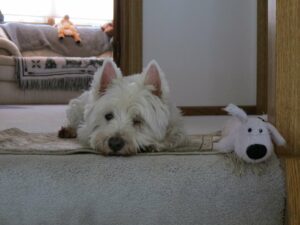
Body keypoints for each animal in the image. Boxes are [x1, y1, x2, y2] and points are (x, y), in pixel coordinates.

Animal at [58, 59, 189, 156]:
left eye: (138, 120)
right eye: (108, 116)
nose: (114, 143)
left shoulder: (177, 126)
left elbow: (176, 137)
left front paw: (155, 144)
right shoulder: (85, 129)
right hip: (76, 107)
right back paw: (67, 131)